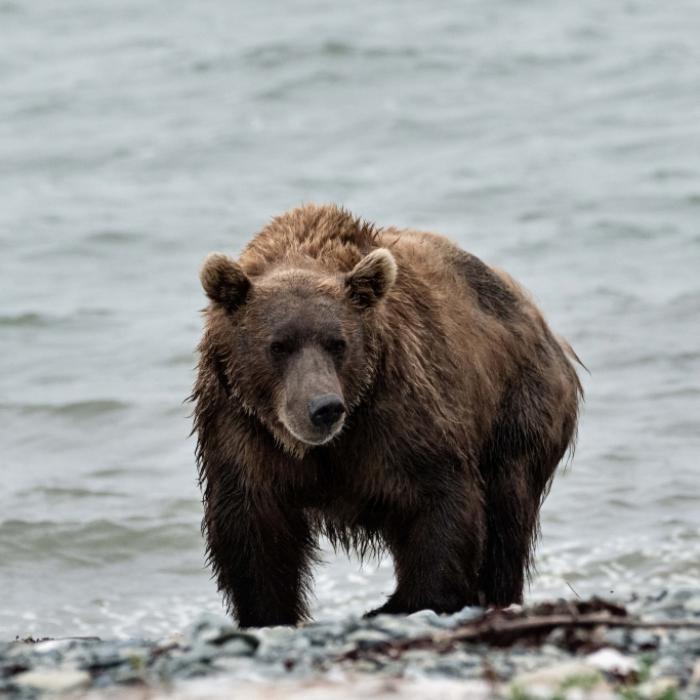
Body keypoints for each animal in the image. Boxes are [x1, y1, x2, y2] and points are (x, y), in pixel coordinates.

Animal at [191, 203, 582, 628]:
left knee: (506, 509)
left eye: (337, 343)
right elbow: (253, 527)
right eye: (278, 345)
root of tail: (542, 322)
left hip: (518, 405)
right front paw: (268, 614)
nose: (324, 408)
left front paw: (411, 601)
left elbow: (439, 499)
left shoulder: (397, 413)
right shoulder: (241, 427)